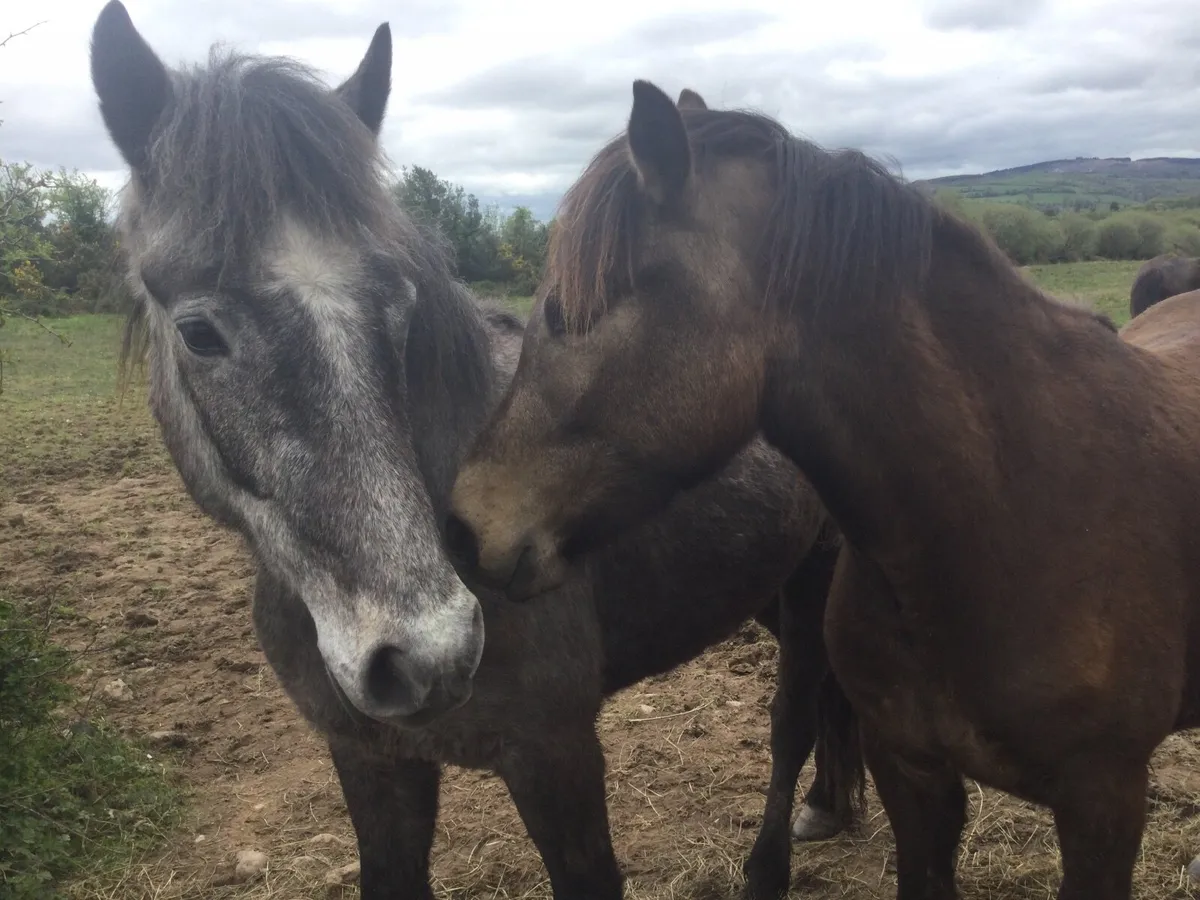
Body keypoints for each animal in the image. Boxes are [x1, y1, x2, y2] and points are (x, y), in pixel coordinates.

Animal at [89, 8, 863, 898]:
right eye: (197, 331)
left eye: (400, 305)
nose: (427, 655)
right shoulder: (371, 761)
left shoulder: (555, 759)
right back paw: (830, 806)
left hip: (813, 579)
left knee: (794, 718)